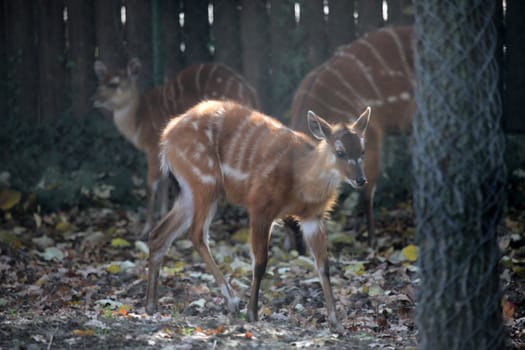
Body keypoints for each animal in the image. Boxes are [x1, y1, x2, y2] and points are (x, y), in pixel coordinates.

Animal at [93, 58, 260, 237]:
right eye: (100, 82)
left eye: (114, 84)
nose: (94, 99)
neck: (139, 119)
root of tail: (249, 92)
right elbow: (165, 182)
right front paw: (162, 214)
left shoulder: (153, 148)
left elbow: (151, 185)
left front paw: (146, 228)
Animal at [145, 100, 370, 330]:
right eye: (340, 152)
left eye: (362, 150)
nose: (361, 180)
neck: (300, 180)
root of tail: (166, 137)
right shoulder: (260, 207)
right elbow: (260, 261)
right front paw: (252, 313)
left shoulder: (313, 218)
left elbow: (323, 265)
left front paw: (335, 321)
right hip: (205, 183)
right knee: (196, 234)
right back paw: (232, 300)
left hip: (190, 190)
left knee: (159, 234)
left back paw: (151, 305)